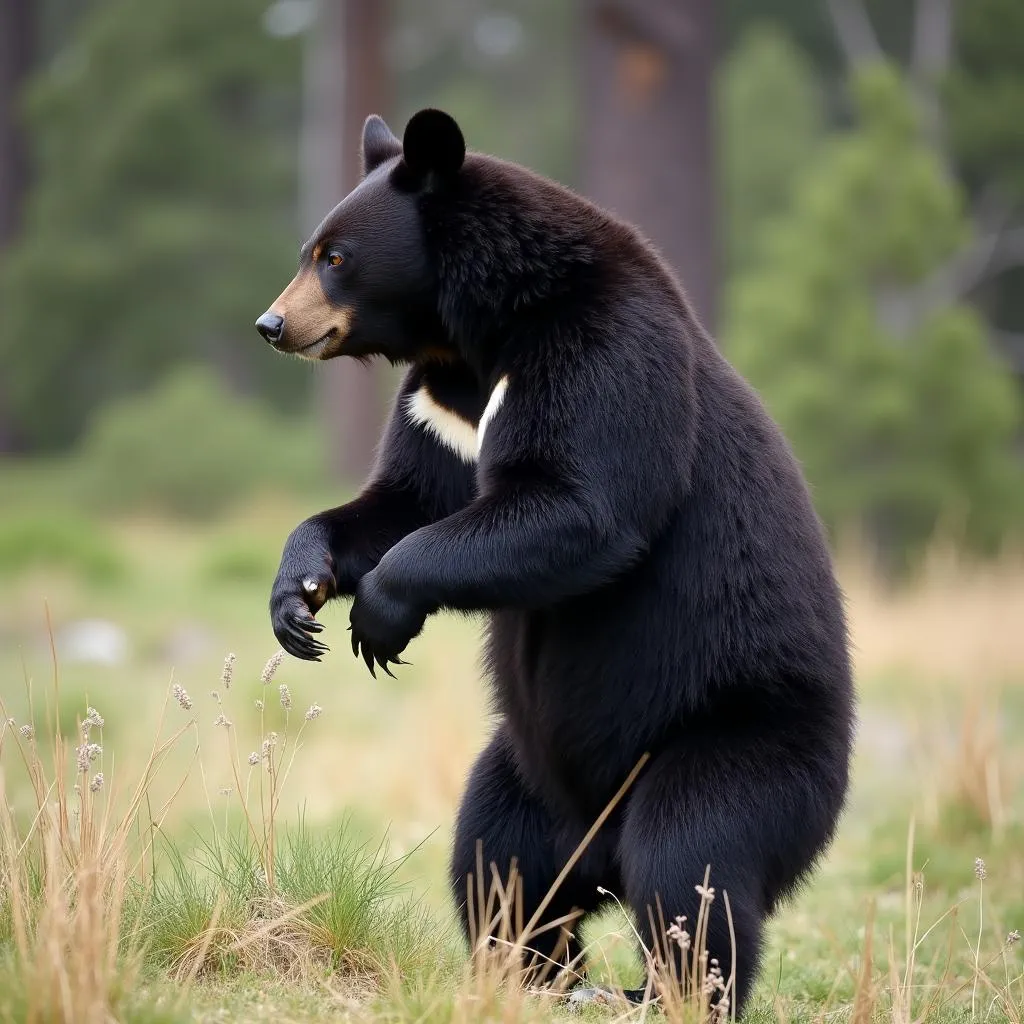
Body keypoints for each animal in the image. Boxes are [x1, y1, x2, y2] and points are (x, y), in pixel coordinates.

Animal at [258, 110, 856, 1007]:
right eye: (309, 249)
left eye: (335, 257)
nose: (273, 325)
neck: (475, 338)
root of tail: (598, 843)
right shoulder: (440, 407)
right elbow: (401, 501)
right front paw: (298, 601)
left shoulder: (601, 349)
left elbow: (579, 504)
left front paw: (379, 619)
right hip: (524, 769)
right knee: (495, 860)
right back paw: (535, 969)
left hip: (743, 742)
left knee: (691, 865)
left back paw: (661, 993)